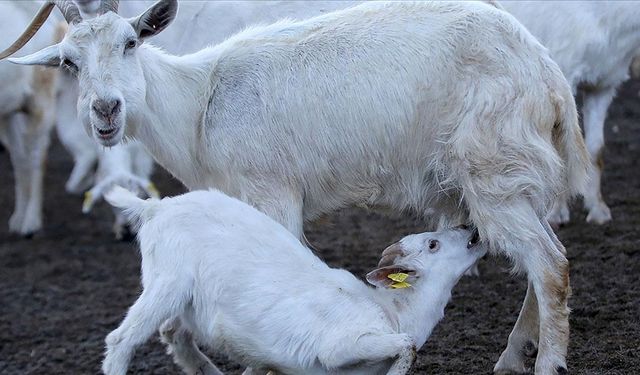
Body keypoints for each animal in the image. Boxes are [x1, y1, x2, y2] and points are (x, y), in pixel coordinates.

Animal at [1, 1, 592, 374]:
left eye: (130, 42)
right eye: (68, 62)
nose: (105, 111)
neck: (199, 104)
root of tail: (547, 71)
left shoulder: (272, 195)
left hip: (494, 170)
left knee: (548, 264)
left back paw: (545, 364)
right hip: (512, 175)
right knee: (547, 256)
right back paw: (514, 356)